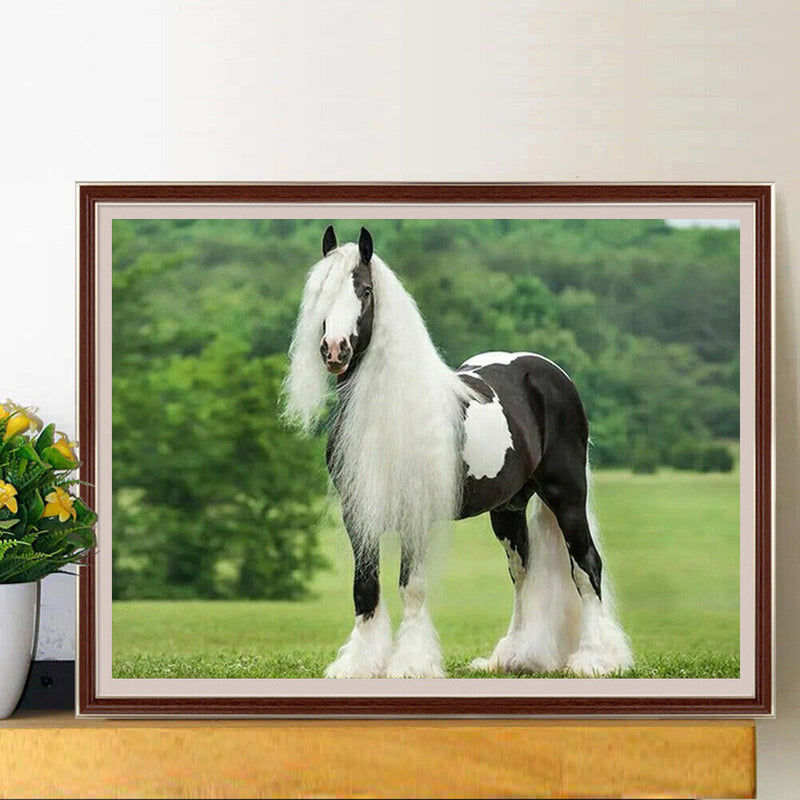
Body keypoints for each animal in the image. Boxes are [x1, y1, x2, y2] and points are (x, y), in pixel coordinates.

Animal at [284, 225, 633, 679]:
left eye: (363, 289)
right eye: (321, 291)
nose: (334, 349)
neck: (386, 411)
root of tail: (550, 372)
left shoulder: (414, 514)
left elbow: (411, 588)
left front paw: (410, 665)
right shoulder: (358, 513)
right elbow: (366, 588)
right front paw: (359, 665)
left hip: (567, 496)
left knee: (585, 565)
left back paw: (596, 659)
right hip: (508, 508)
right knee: (522, 572)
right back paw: (514, 656)